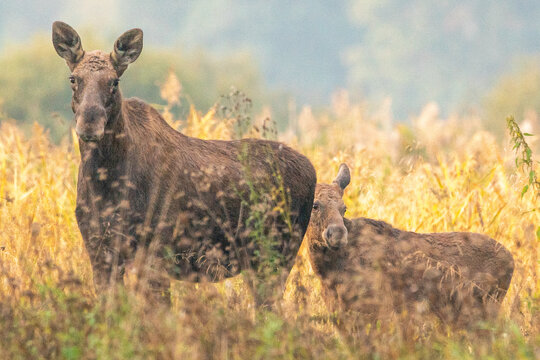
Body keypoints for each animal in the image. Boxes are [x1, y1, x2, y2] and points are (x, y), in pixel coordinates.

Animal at [51, 21, 316, 304]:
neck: (107, 181)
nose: (89, 124)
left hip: (276, 254)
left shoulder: (157, 251)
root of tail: (312, 170)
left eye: (114, 81)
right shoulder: (99, 250)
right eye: (73, 79)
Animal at [304, 165, 516, 328]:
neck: (328, 272)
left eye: (344, 208)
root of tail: (512, 260)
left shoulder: (376, 309)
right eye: (315, 205)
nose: (338, 234)